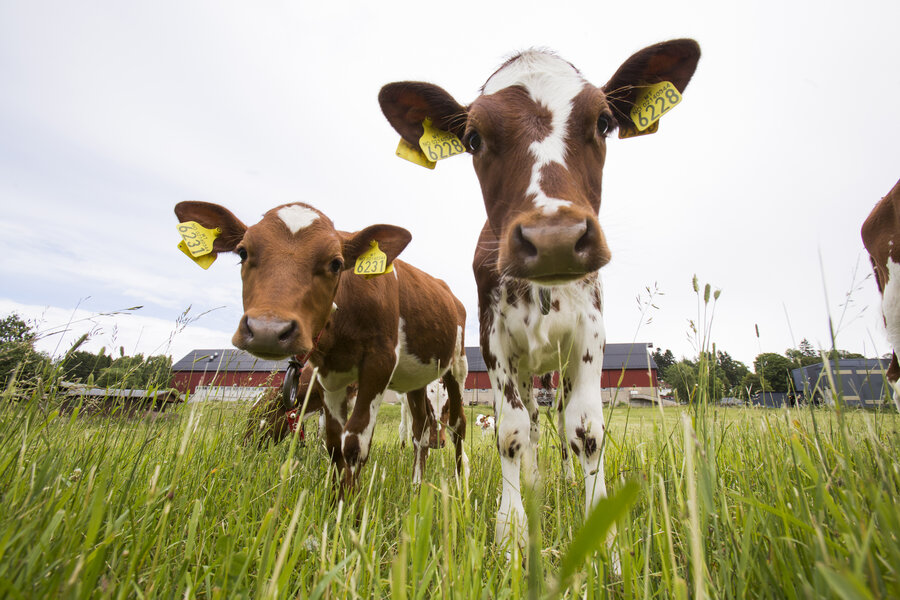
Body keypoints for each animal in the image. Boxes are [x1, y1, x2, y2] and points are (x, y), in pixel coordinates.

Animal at [176, 202, 472, 488]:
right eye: (242, 253)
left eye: (336, 263)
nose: (267, 330)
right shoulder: (330, 374)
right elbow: (333, 445)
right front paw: (335, 500)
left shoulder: (378, 365)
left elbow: (354, 444)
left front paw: (349, 505)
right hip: (417, 378)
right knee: (420, 431)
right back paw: (416, 487)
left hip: (457, 367)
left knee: (458, 426)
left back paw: (460, 487)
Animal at [376, 39, 700, 552]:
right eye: (473, 139)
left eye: (604, 122)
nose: (554, 238)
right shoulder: (494, 342)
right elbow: (512, 430)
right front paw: (511, 528)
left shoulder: (590, 333)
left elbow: (585, 429)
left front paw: (599, 533)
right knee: (529, 419)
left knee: (560, 419)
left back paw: (564, 478)